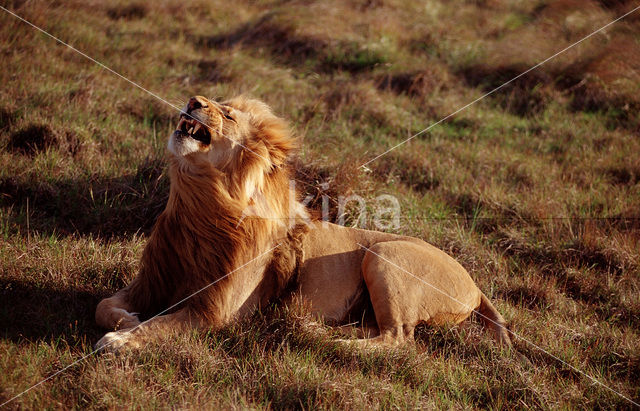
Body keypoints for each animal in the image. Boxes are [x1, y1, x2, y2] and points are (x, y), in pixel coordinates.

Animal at [94, 96, 510, 350]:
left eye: (227, 114)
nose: (193, 101)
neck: (200, 207)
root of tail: (476, 285)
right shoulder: (151, 282)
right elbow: (105, 304)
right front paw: (125, 320)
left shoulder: (216, 312)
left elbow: (161, 325)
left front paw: (120, 341)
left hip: (384, 254)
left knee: (398, 340)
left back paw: (325, 339)